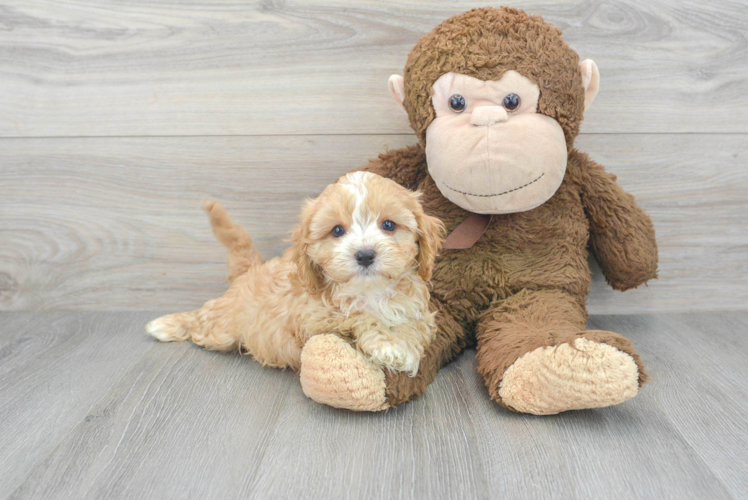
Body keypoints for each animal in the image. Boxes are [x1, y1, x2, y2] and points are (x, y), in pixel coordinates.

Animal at [146, 171, 444, 376]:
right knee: (201, 319)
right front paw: (387, 344)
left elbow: (414, 327)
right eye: (337, 230)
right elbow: (359, 318)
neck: (368, 291)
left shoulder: (419, 312)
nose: (365, 255)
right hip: (222, 327)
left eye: (389, 225)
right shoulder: (314, 320)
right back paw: (165, 325)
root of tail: (251, 270)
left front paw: (402, 345)